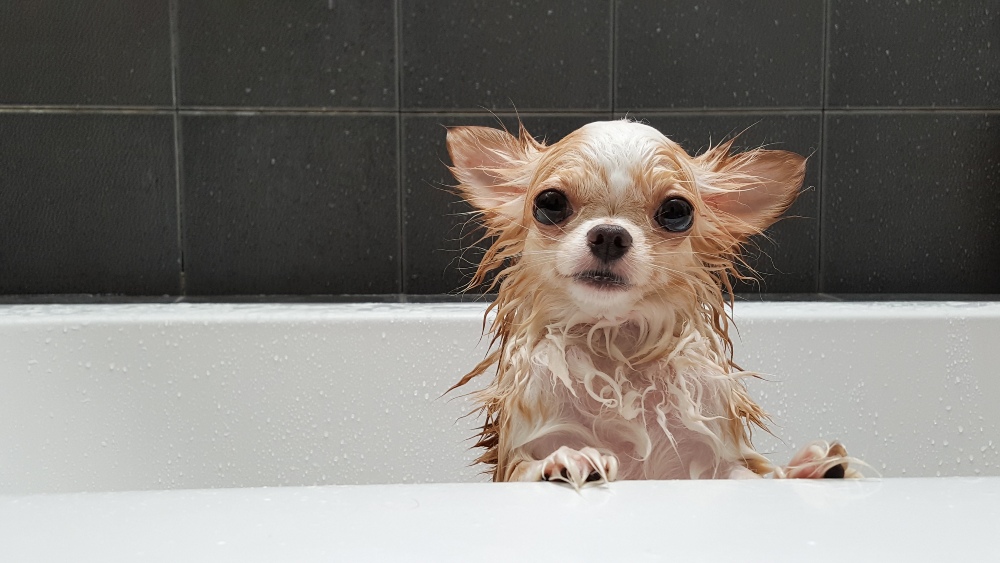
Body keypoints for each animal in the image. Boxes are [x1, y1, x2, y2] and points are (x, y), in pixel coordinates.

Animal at [448, 121, 860, 486]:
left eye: (676, 211)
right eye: (550, 203)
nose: (609, 235)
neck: (615, 344)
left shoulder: (711, 463)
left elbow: (750, 475)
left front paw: (801, 471)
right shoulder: (516, 452)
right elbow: (526, 467)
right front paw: (566, 459)